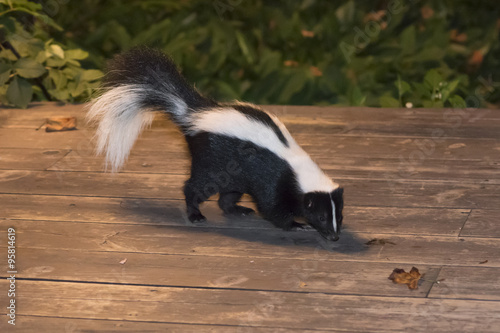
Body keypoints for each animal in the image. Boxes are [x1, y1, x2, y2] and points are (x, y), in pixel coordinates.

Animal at [88, 47, 344, 239]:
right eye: (321, 216)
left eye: (338, 216)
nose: (334, 236)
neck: (296, 166)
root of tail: (194, 115)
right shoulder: (274, 181)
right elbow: (272, 208)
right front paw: (297, 225)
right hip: (211, 163)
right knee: (194, 187)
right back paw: (195, 214)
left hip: (232, 174)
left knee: (227, 196)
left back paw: (238, 209)